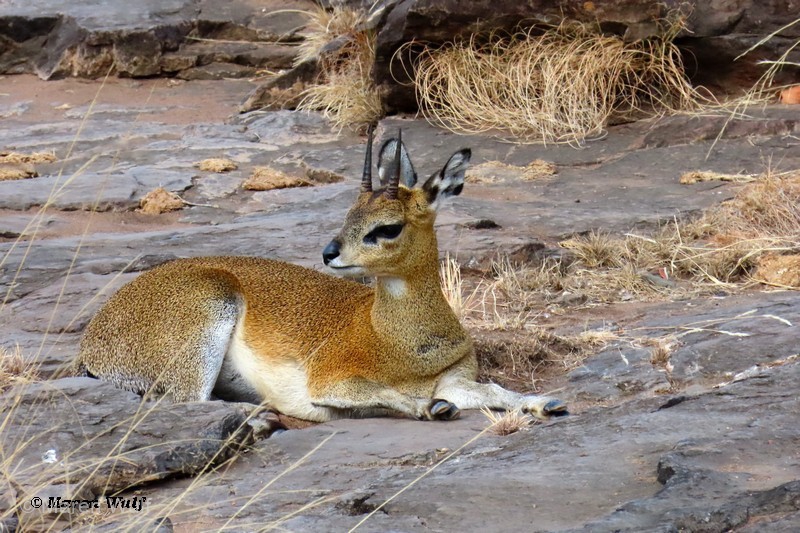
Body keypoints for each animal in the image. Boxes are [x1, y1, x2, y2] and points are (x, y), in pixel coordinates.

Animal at [75, 127, 568, 422]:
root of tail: (93, 339)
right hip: (208, 318)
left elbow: (496, 389)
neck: (396, 341)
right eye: (349, 214)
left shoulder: (457, 379)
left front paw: (544, 402)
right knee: (189, 404)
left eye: (388, 226)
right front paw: (433, 409)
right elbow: (395, 397)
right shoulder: (330, 380)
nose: (330, 253)